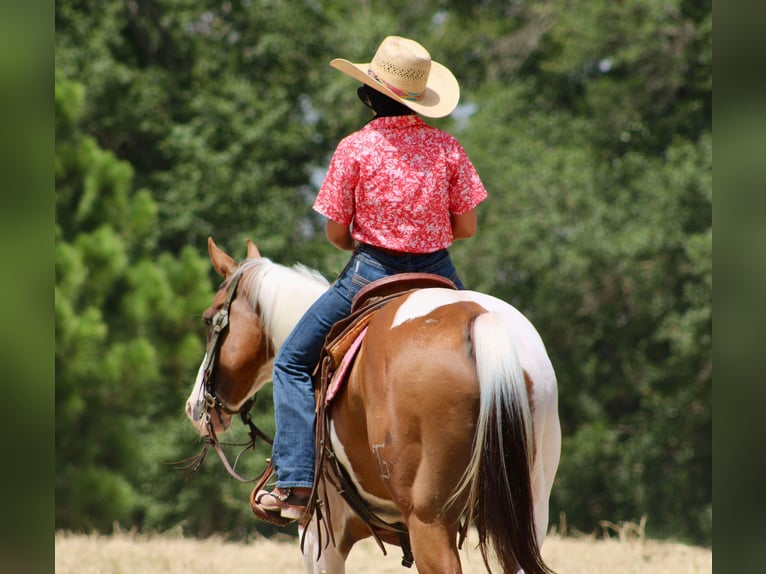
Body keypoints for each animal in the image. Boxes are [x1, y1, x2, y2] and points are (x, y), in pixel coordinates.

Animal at [185, 237, 561, 574]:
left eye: (209, 319)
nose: (194, 407)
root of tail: (478, 318)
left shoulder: (321, 536)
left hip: (430, 521)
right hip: (527, 515)